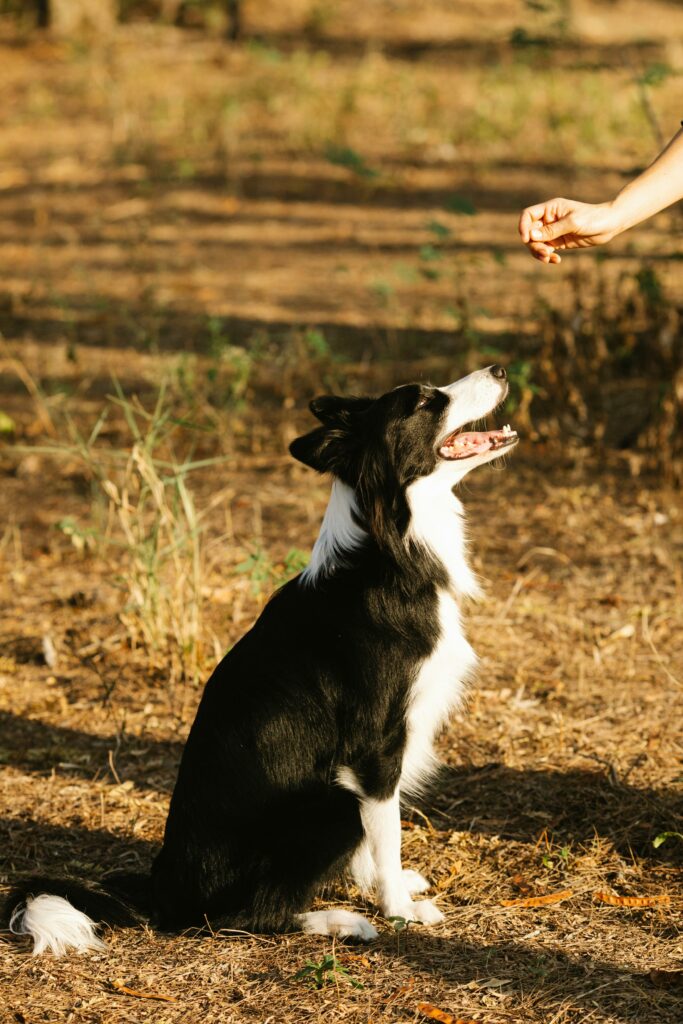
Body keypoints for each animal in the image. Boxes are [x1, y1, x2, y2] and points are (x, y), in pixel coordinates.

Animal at [6, 362, 518, 950]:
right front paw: (398, 910)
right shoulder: (375, 748)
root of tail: (164, 890)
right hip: (331, 807)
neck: (391, 551)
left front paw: (380, 888)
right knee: (243, 916)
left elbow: (374, 843)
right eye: (422, 402)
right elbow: (385, 836)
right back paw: (339, 920)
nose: (499, 368)